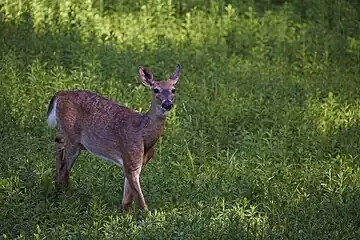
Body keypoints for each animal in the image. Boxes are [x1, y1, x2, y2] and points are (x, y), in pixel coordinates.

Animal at [46, 62, 181, 218]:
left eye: (173, 90)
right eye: (156, 90)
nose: (167, 104)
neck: (143, 134)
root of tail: (61, 94)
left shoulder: (136, 163)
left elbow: (127, 200)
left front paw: (125, 217)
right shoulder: (130, 159)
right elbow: (140, 202)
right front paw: (148, 220)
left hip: (70, 138)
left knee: (58, 146)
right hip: (72, 138)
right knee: (63, 168)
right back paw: (64, 198)